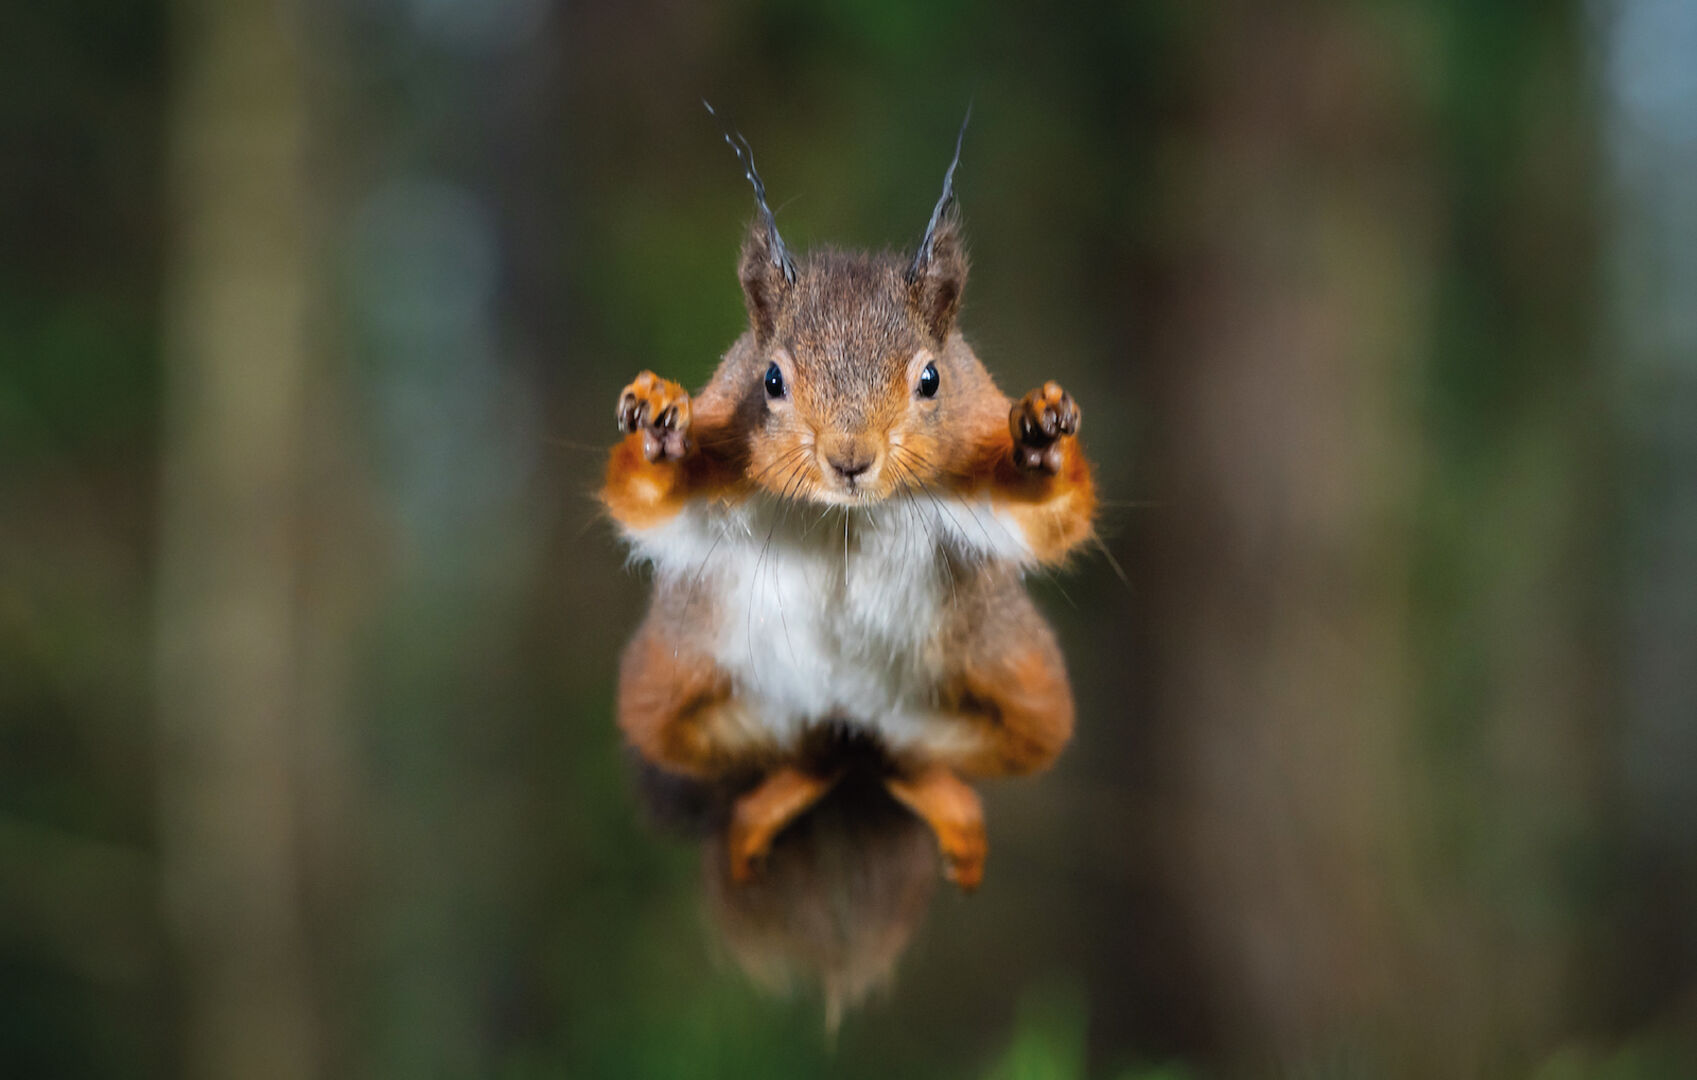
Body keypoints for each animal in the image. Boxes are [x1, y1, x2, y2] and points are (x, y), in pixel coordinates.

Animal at [601, 114, 1096, 1020]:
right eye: (769, 379)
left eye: (931, 377)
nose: (849, 458)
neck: (846, 518)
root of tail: (848, 721)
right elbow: (646, 504)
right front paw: (656, 426)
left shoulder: (973, 444)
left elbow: (1051, 518)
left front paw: (1042, 441)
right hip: (667, 686)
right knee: (793, 752)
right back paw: (776, 797)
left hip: (1018, 681)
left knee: (912, 754)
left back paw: (930, 791)